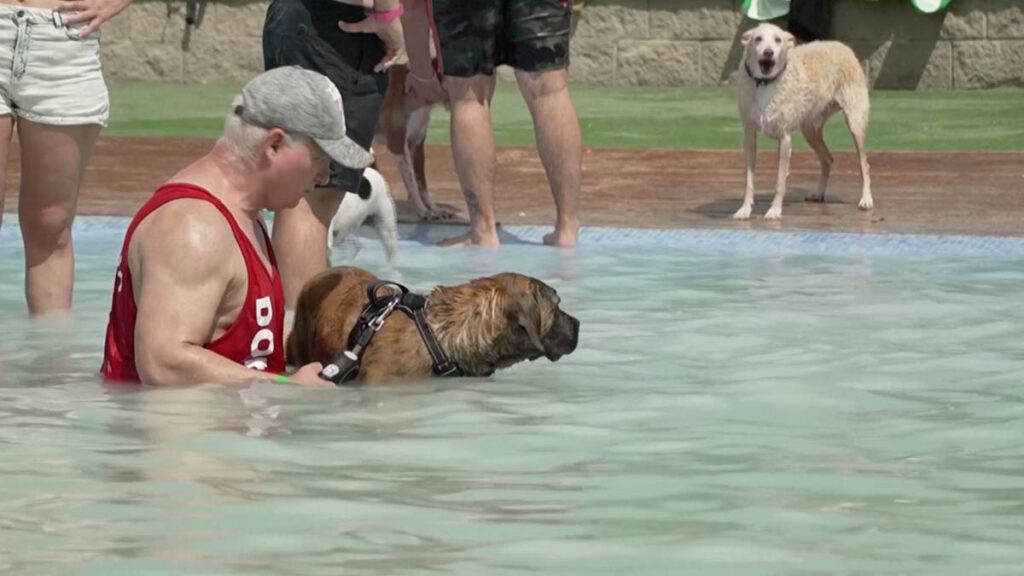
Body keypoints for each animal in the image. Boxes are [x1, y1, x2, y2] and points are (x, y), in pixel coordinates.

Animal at [737, 22, 872, 219]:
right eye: (758, 39)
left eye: (778, 40)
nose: (768, 52)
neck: (765, 84)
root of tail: (842, 46)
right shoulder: (749, 135)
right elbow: (748, 179)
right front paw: (745, 209)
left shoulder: (784, 138)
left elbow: (780, 181)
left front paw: (775, 210)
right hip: (810, 131)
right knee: (827, 159)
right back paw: (819, 193)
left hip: (855, 124)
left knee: (864, 164)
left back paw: (866, 199)